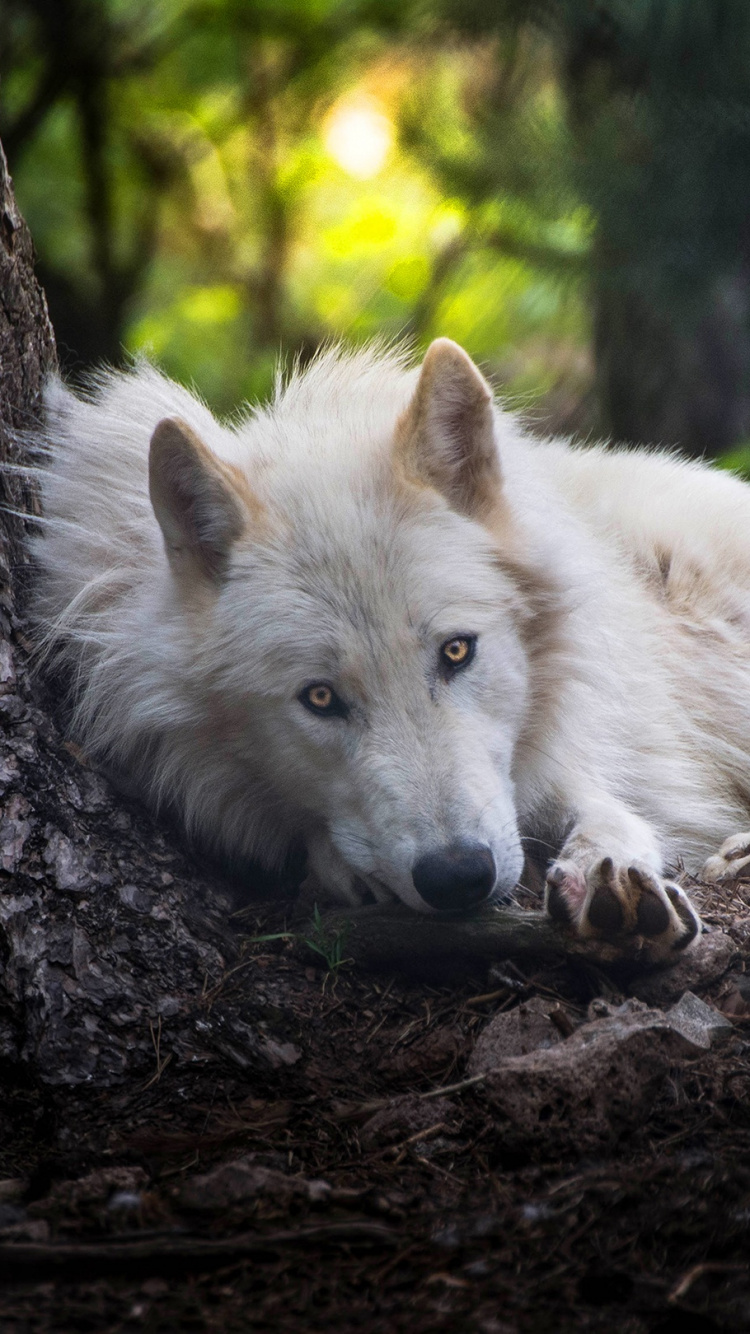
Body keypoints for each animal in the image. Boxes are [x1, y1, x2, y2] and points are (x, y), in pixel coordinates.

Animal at [30, 337, 750, 958]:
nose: (458, 876)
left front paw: (609, 877)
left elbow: (605, 812)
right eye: (320, 698)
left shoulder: (574, 754)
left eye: (457, 652)